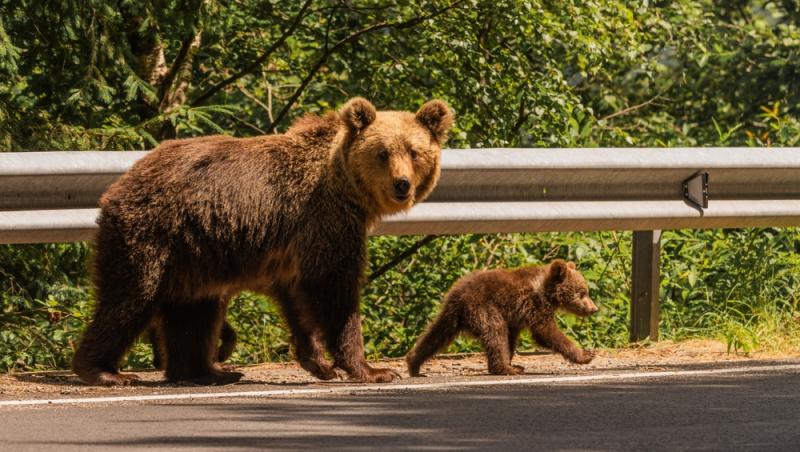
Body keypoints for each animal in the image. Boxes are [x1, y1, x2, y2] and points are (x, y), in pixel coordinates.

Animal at [72, 98, 454, 384]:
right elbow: (335, 288)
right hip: (152, 235)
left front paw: (320, 364)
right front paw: (372, 369)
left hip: (194, 251)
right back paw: (105, 371)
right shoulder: (326, 222)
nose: (402, 184)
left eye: (414, 151)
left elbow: (297, 299)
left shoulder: (294, 247)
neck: (345, 188)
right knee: (131, 296)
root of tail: (121, 181)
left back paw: (208, 371)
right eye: (382, 153)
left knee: (195, 310)